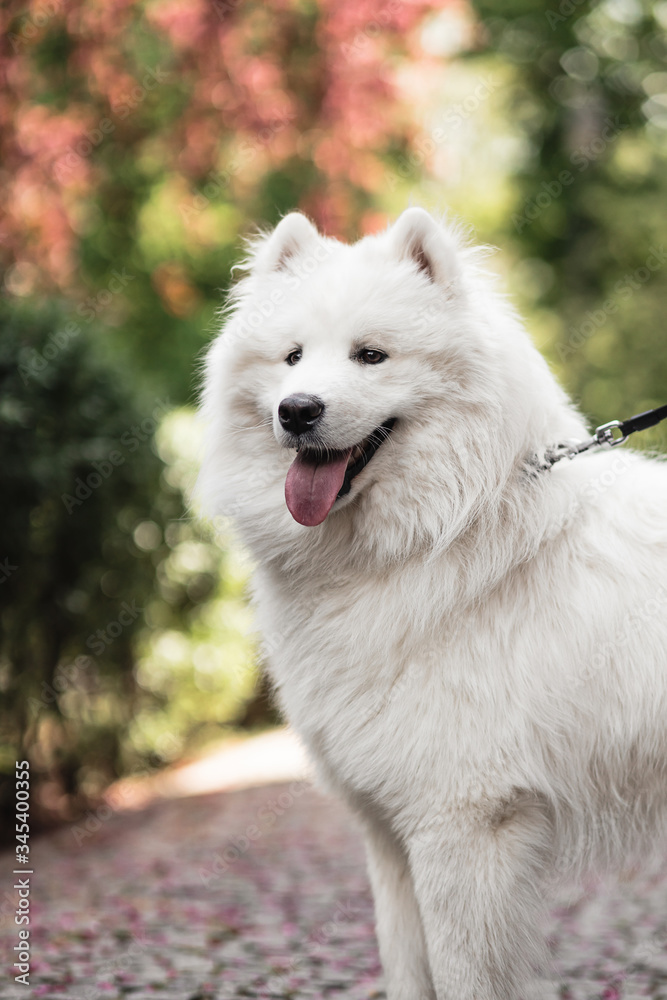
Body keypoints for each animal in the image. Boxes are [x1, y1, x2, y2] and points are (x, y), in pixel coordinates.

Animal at [196, 207, 667, 996]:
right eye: (292, 357)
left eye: (371, 356)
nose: (297, 411)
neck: (436, 539)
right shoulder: (391, 835)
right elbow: (406, 966)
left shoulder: (461, 827)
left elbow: (462, 978)